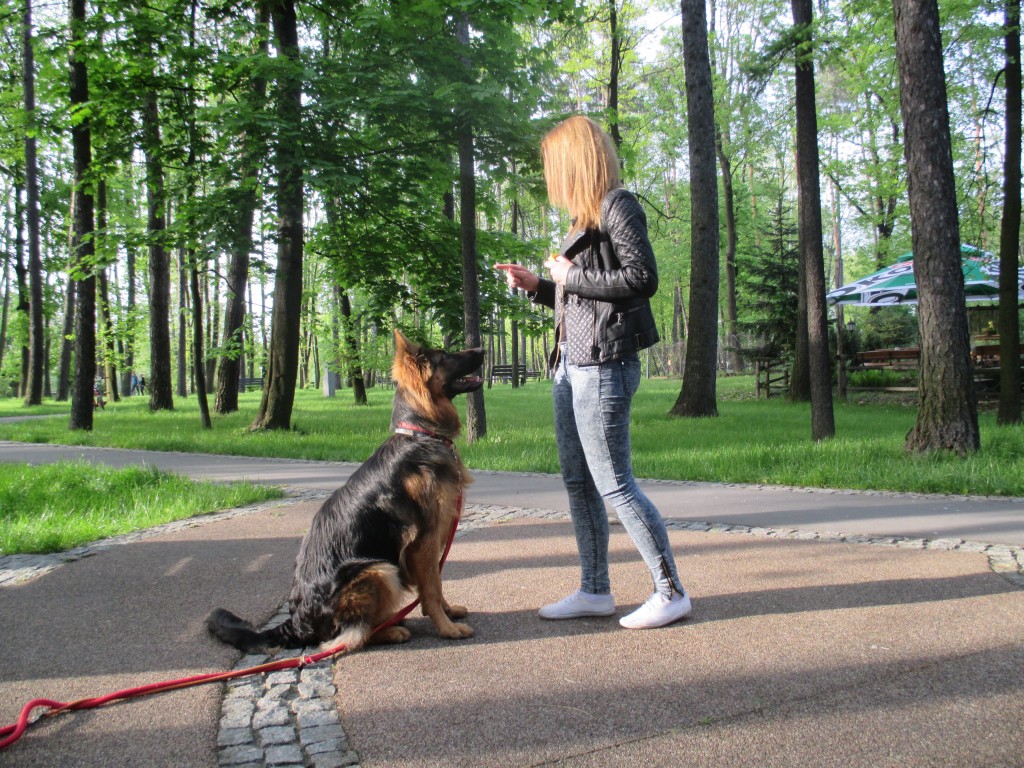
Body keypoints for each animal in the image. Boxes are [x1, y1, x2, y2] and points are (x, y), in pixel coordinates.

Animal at [207, 331, 483, 655]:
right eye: (445, 355)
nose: (481, 349)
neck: (420, 434)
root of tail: (295, 624)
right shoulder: (424, 541)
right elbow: (431, 587)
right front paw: (447, 628)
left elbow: (436, 583)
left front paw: (448, 612)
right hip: (379, 570)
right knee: (345, 638)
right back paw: (390, 630)